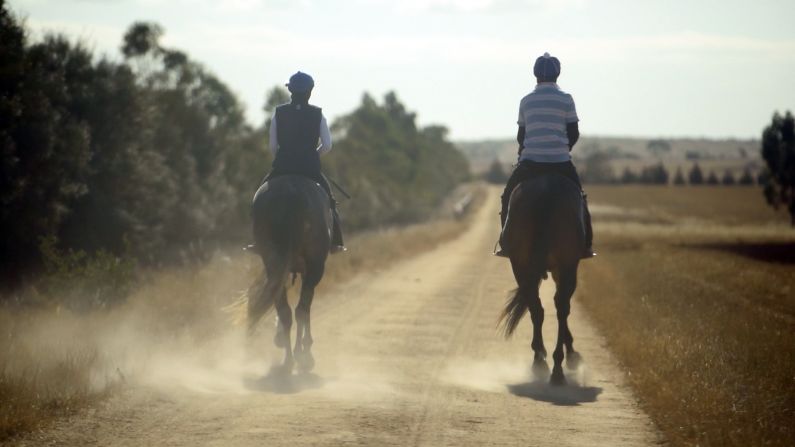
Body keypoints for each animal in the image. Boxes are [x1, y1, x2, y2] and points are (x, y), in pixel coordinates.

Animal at [247, 175, 332, 374]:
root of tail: (289, 195)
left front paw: (279, 338)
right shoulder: (309, 270)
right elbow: (304, 308)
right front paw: (304, 350)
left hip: (274, 262)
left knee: (285, 310)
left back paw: (288, 360)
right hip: (315, 267)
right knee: (301, 309)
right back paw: (303, 356)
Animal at [500, 173, 588, 386]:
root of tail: (546, 190)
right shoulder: (563, 269)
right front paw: (572, 355)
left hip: (522, 266)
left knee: (538, 308)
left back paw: (545, 364)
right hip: (563, 265)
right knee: (559, 308)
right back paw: (555, 366)